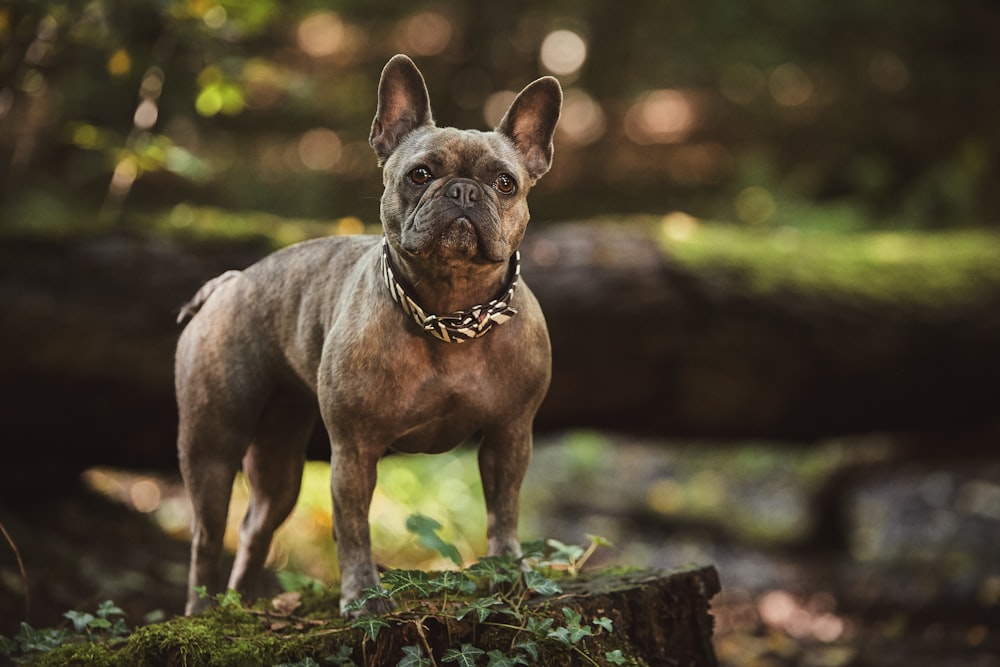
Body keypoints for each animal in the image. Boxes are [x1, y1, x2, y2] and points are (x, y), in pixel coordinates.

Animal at [175, 54, 560, 620]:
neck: (450, 312)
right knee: (207, 536)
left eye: (505, 183)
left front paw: (508, 573)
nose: (463, 190)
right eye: (420, 174)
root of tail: (230, 282)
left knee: (255, 526)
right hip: (212, 444)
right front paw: (361, 596)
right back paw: (204, 614)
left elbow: (503, 513)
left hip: (279, 459)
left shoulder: (510, 435)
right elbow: (353, 528)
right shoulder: (354, 450)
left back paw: (241, 606)